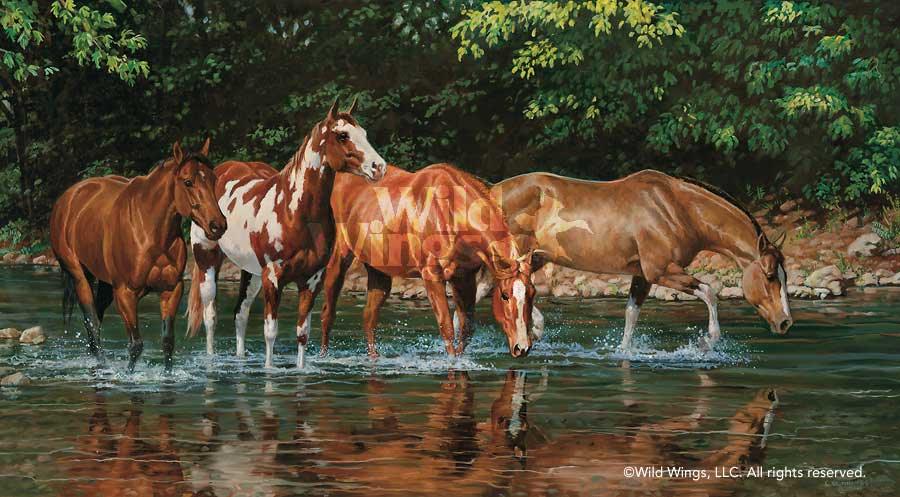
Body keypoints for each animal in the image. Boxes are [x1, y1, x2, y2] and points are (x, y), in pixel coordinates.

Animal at [50, 140, 225, 371]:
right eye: (187, 182)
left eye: (213, 180)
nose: (218, 225)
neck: (150, 230)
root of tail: (68, 197)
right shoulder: (126, 293)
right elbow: (135, 345)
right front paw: (129, 375)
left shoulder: (171, 290)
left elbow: (168, 342)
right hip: (80, 277)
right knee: (92, 323)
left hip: (106, 285)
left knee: (96, 320)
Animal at [186, 99, 387, 368]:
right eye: (343, 135)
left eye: (363, 133)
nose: (379, 167)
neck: (294, 211)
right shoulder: (274, 277)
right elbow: (270, 332)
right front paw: (270, 371)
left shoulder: (312, 279)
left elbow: (302, 333)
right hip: (207, 260)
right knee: (210, 316)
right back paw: (210, 359)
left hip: (252, 273)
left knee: (241, 314)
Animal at [299, 163, 537, 359]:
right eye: (504, 295)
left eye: (532, 294)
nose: (522, 347)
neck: (451, 213)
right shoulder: (432, 276)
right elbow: (446, 327)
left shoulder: (464, 278)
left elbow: (466, 330)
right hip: (340, 258)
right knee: (328, 313)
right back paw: (323, 357)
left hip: (378, 272)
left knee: (369, 317)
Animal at [487, 169, 793, 351]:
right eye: (769, 275)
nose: (785, 323)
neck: (678, 209)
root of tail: (489, 191)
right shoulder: (661, 271)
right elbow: (709, 292)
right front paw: (708, 341)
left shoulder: (643, 276)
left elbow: (631, 315)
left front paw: (623, 353)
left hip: (531, 259)